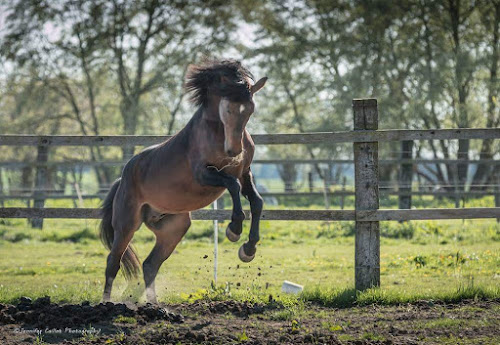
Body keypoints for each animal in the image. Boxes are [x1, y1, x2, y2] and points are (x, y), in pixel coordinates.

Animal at [99, 60, 268, 302]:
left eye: (250, 109)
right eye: (228, 108)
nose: (234, 151)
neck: (216, 132)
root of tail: (122, 179)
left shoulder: (244, 173)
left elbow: (256, 202)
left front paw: (248, 249)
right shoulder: (204, 174)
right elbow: (232, 186)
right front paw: (234, 230)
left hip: (174, 228)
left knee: (150, 265)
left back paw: (155, 305)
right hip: (126, 224)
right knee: (113, 262)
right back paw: (106, 302)